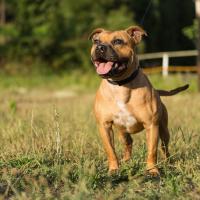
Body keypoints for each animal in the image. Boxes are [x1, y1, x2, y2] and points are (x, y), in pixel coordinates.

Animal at [89, 25, 189, 176]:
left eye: (118, 41)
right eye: (96, 41)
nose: (100, 47)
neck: (121, 85)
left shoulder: (151, 125)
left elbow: (152, 151)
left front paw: (152, 170)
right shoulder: (104, 126)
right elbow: (110, 151)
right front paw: (113, 169)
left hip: (164, 130)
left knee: (164, 147)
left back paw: (168, 162)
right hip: (122, 132)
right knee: (128, 143)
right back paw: (126, 161)